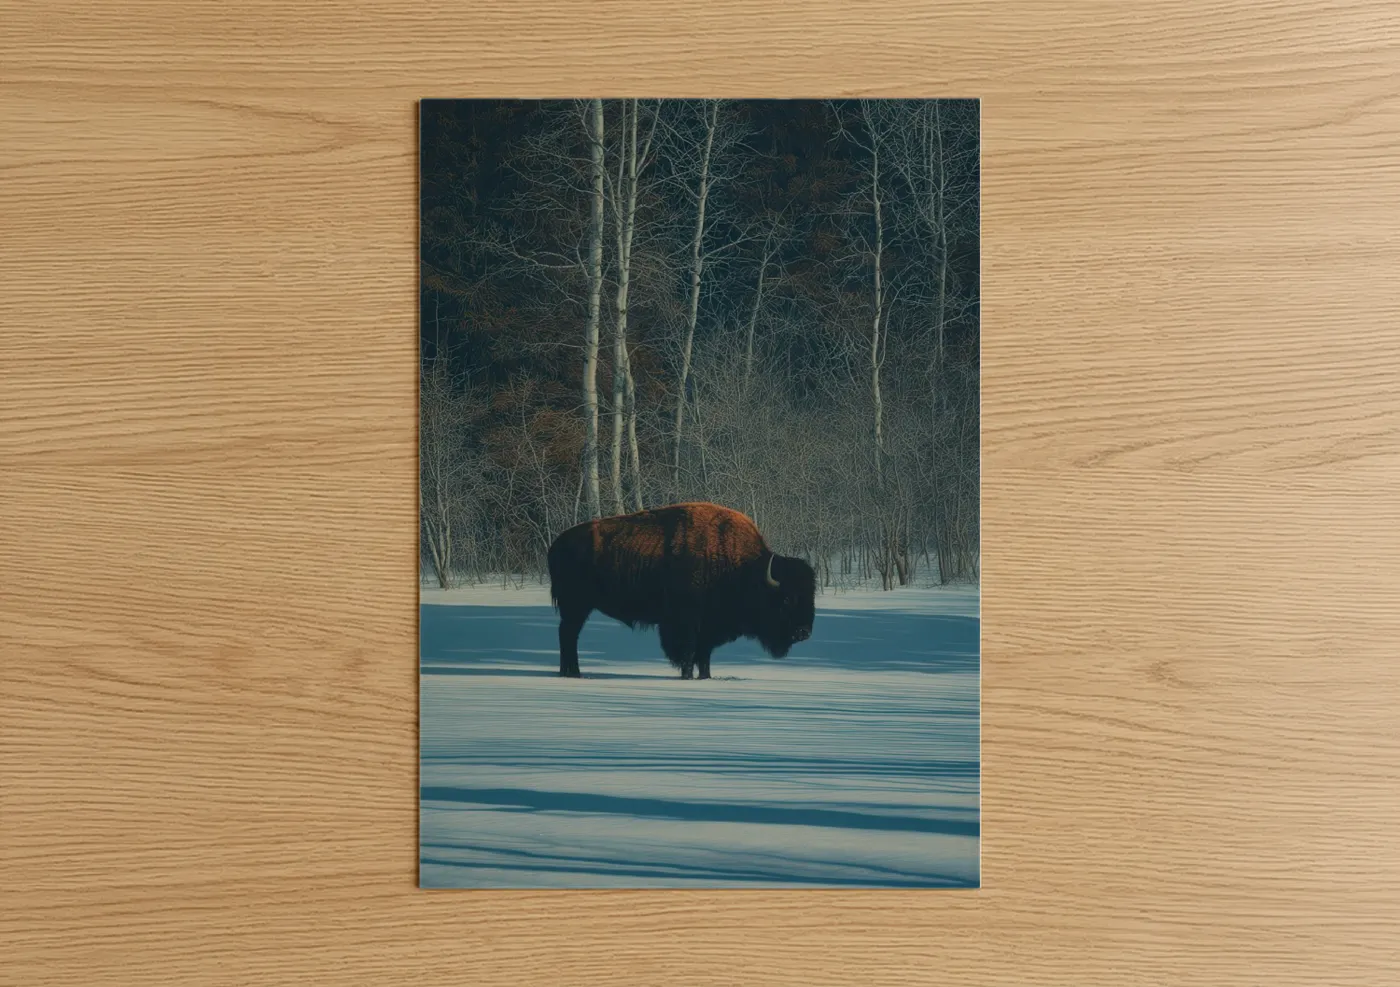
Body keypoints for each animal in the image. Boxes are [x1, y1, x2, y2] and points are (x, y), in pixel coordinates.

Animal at [546, 502, 816, 679]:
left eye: (811, 596)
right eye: (786, 599)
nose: (803, 632)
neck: (744, 569)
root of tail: (557, 543)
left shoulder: (709, 627)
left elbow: (704, 656)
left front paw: (706, 677)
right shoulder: (685, 623)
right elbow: (688, 653)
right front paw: (687, 676)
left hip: (578, 608)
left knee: (567, 635)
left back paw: (569, 672)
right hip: (576, 606)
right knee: (568, 635)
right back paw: (573, 673)